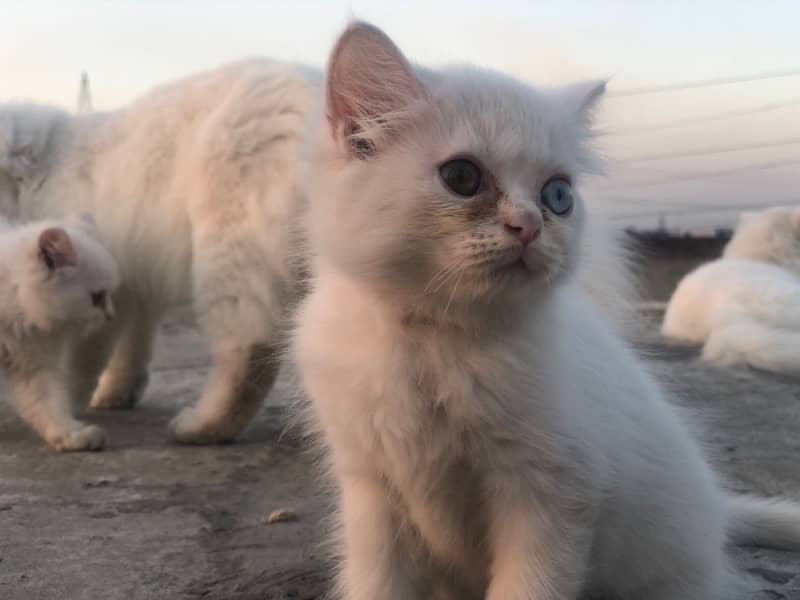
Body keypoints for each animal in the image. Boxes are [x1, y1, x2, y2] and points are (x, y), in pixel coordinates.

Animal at [0, 213, 119, 448]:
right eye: (97, 297)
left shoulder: (31, 366)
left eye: (109, 295)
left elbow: (50, 406)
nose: (111, 315)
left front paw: (72, 434)